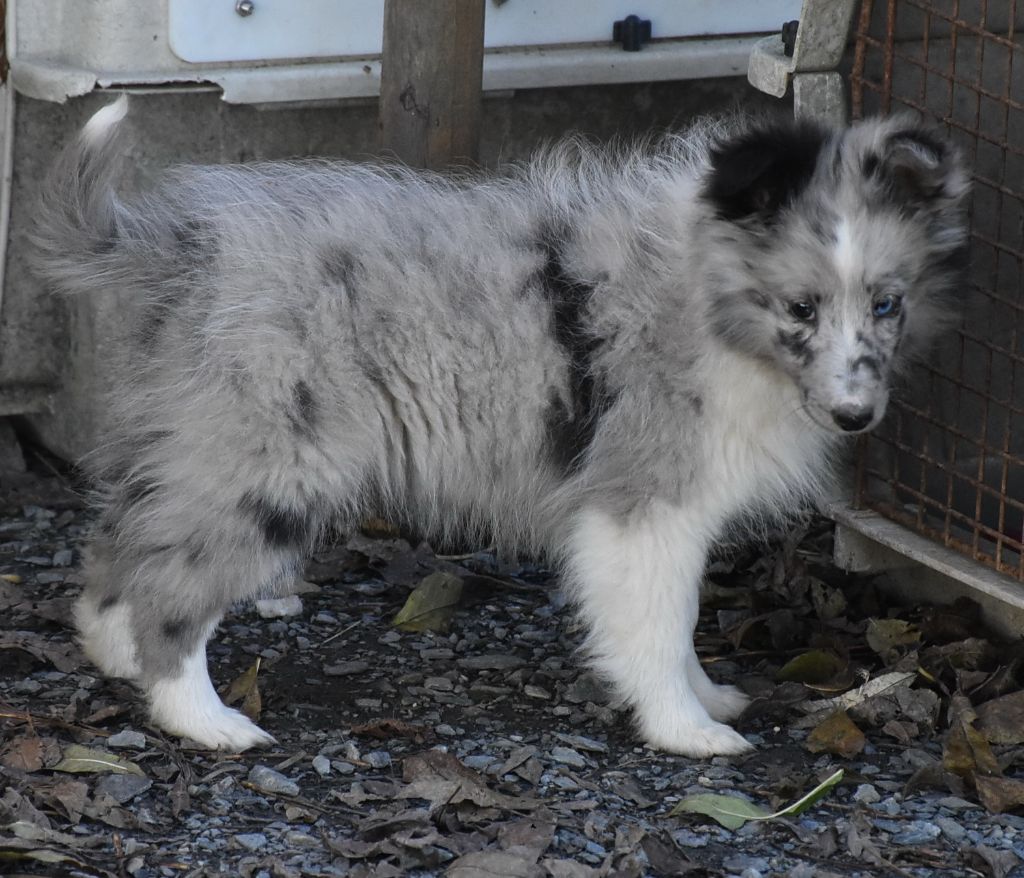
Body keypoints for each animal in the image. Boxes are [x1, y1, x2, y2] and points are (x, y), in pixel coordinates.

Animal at [31, 96, 968, 756]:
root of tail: (184, 247)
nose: (855, 415)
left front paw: (707, 696)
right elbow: (660, 626)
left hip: (190, 445)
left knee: (122, 547)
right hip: (269, 470)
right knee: (173, 592)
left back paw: (116, 654)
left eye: (887, 305)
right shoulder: (642, 505)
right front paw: (685, 727)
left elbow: (683, 625)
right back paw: (204, 718)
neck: (713, 294)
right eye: (801, 307)